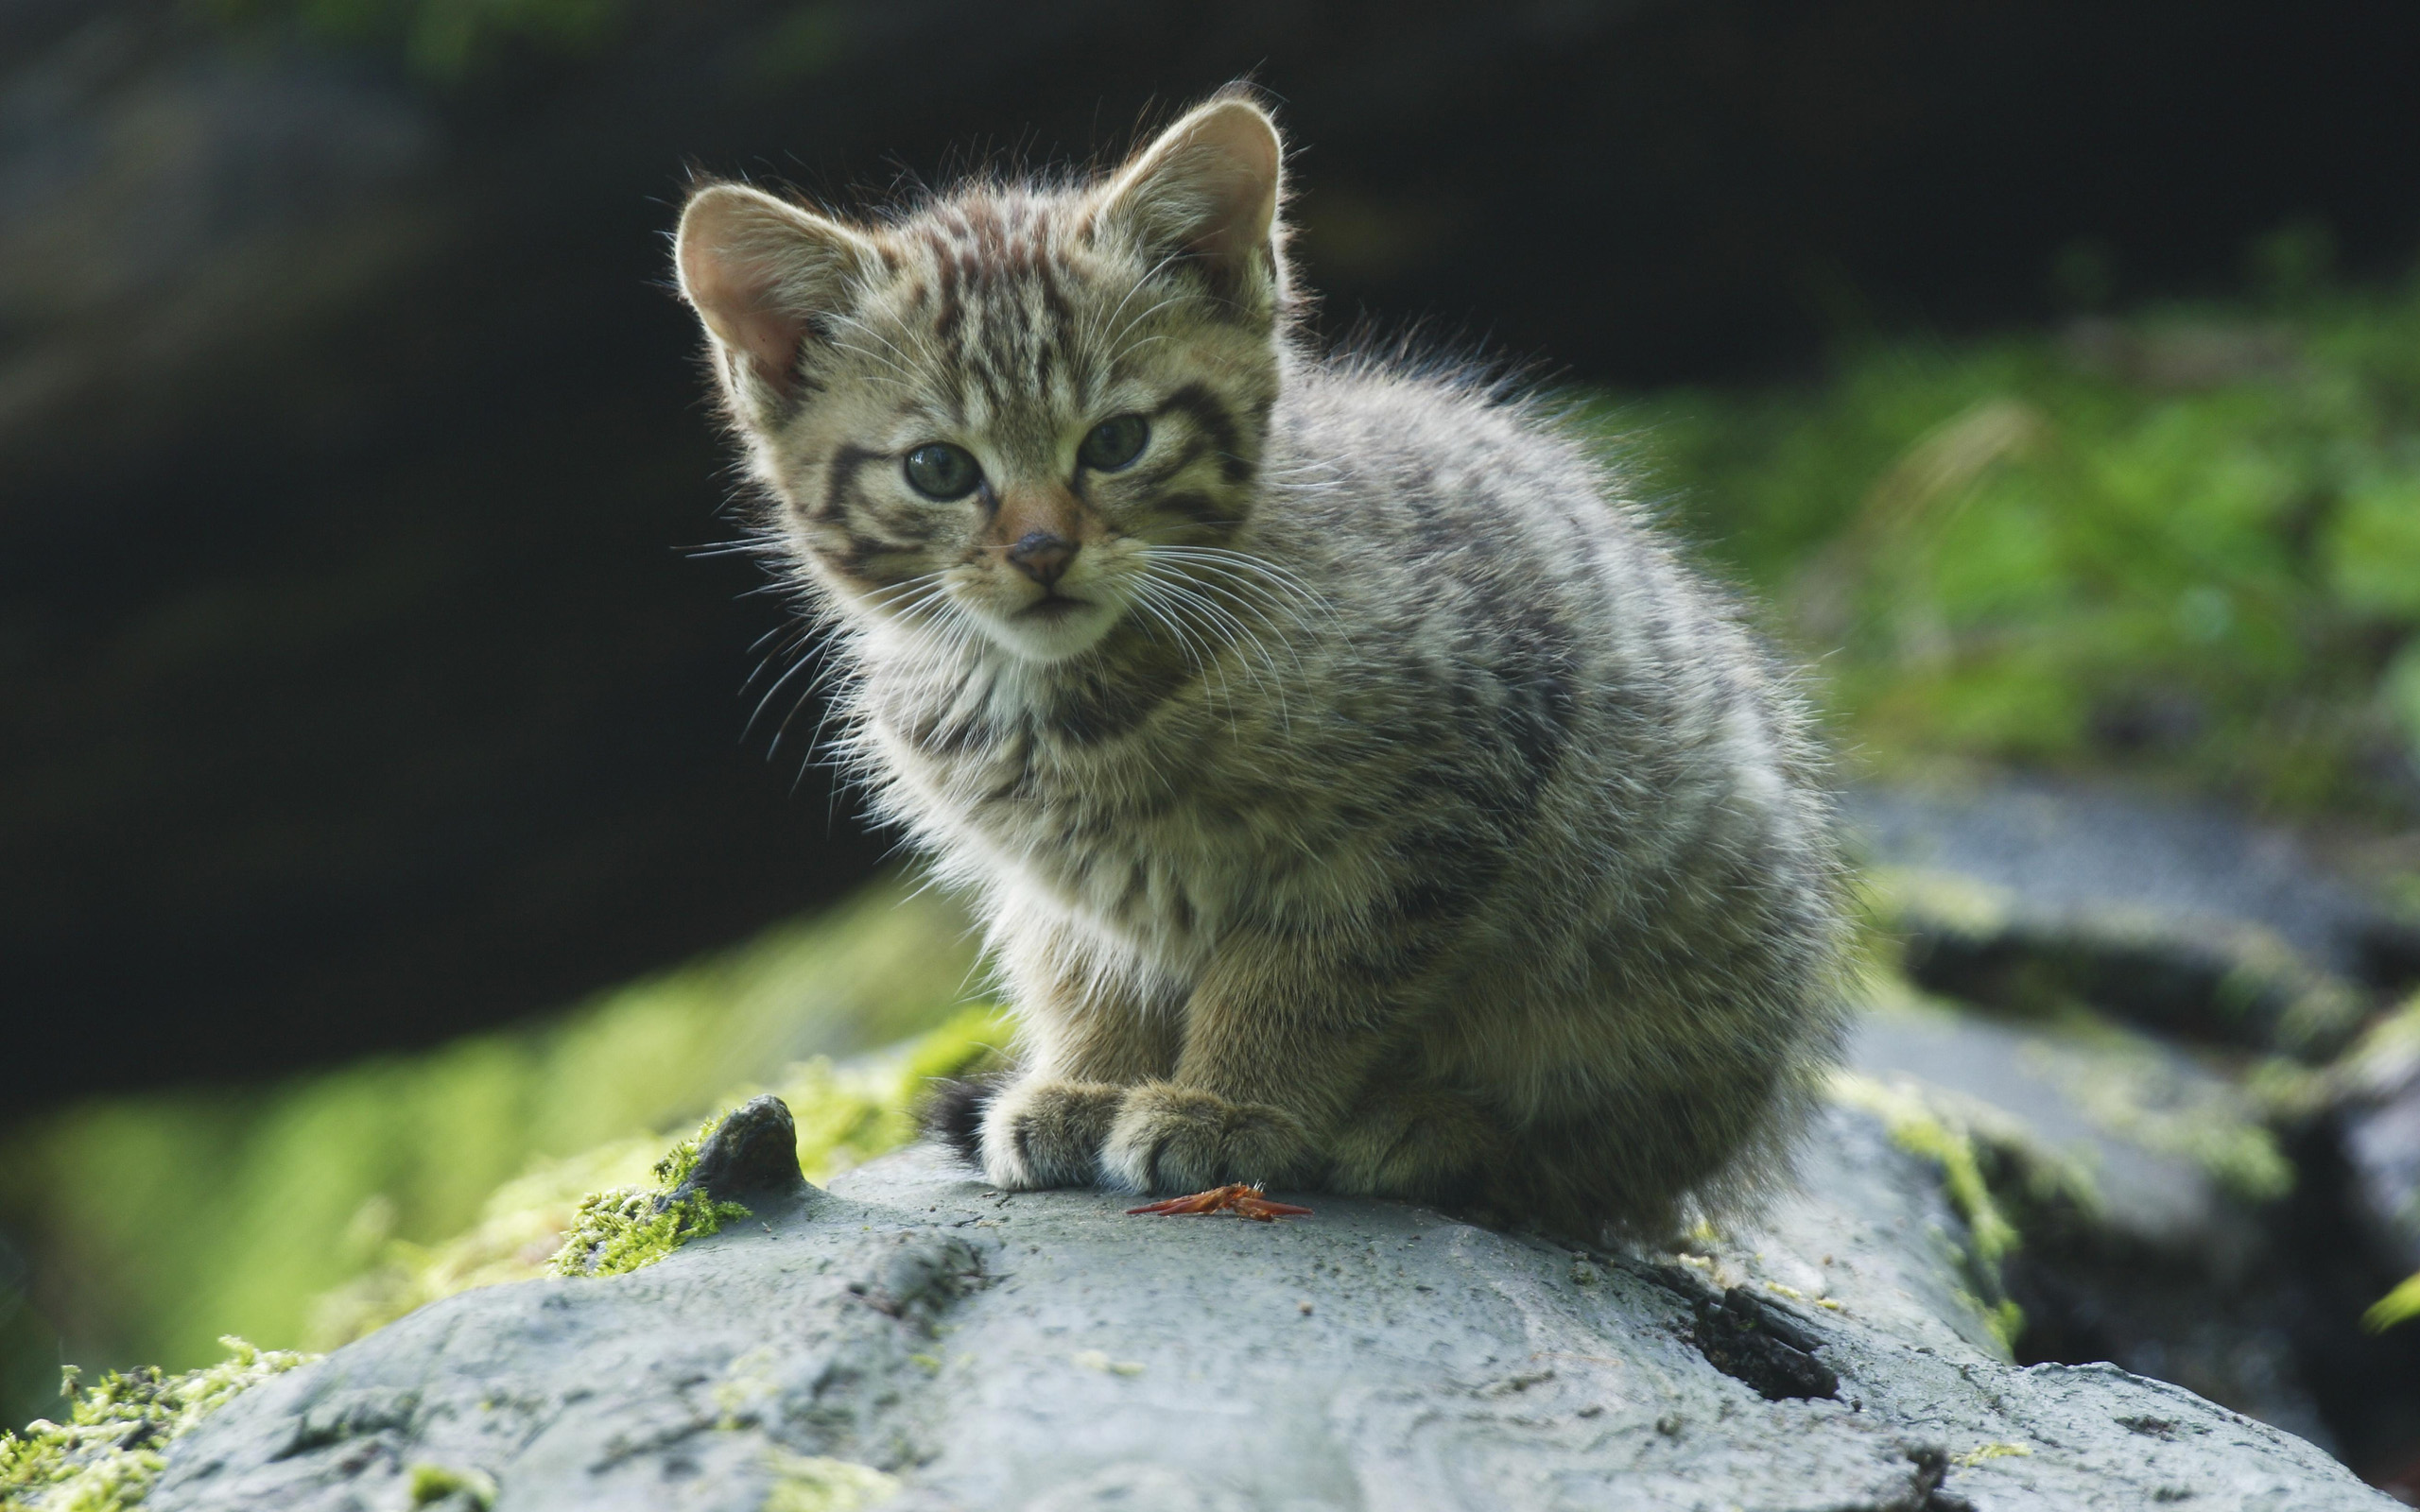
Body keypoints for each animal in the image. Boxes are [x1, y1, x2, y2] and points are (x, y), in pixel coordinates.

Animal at [672, 88, 1839, 1233]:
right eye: (938, 469)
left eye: (1116, 443)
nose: (1042, 551)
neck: (1075, 699)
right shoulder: (1059, 888)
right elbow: (1085, 972)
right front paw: (1086, 1080)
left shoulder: (1433, 796)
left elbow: (1307, 978)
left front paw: (1234, 1102)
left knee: (1609, 1172)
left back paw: (1437, 1127)